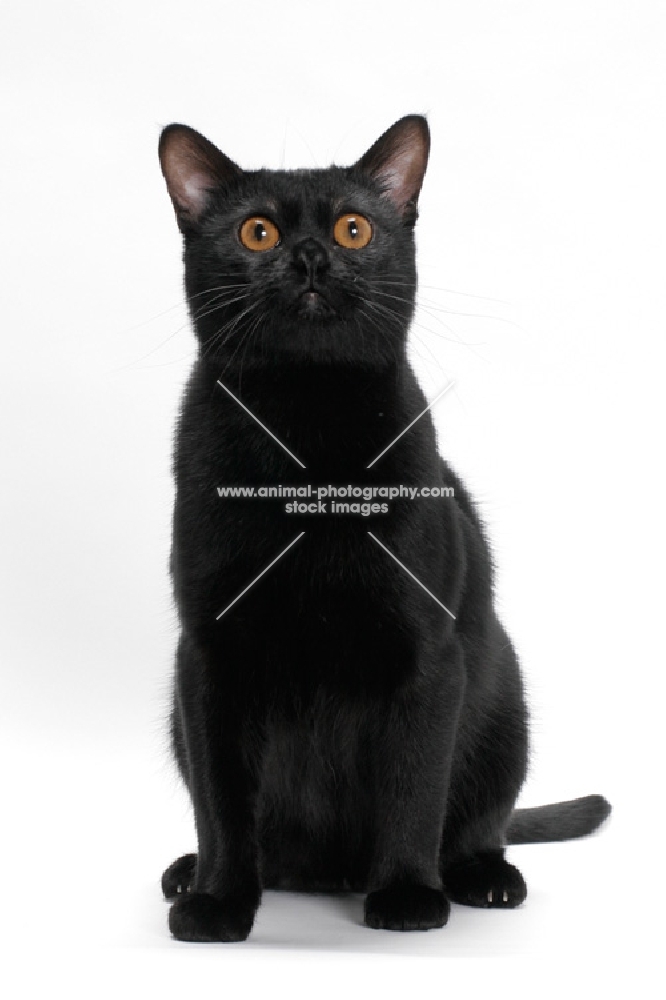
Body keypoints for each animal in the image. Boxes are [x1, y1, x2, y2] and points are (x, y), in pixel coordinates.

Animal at [158, 115, 608, 936]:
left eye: (354, 228)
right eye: (258, 232)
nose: (311, 256)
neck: (304, 437)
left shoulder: (427, 656)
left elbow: (414, 786)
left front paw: (404, 895)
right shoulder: (208, 656)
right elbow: (221, 800)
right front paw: (218, 901)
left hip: (505, 700)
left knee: (478, 823)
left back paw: (484, 878)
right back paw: (189, 872)